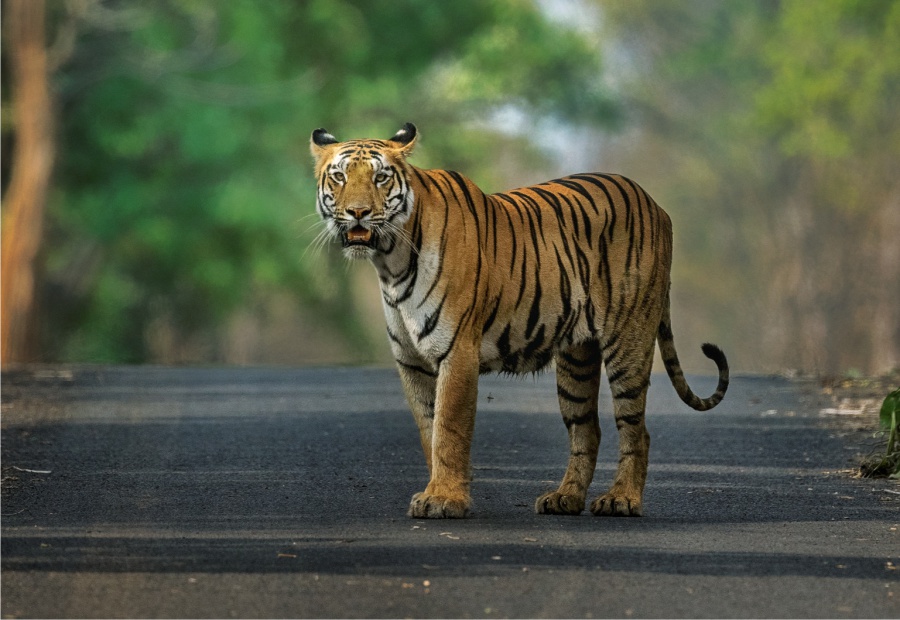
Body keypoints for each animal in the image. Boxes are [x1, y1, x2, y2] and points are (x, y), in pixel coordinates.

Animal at [312, 121, 728, 520]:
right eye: (340, 177)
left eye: (381, 177)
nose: (358, 212)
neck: (391, 261)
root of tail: (655, 203)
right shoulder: (411, 362)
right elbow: (428, 429)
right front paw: (437, 491)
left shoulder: (456, 351)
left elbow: (448, 429)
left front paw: (445, 500)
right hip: (577, 359)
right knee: (587, 430)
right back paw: (565, 498)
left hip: (629, 340)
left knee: (636, 430)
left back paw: (621, 500)